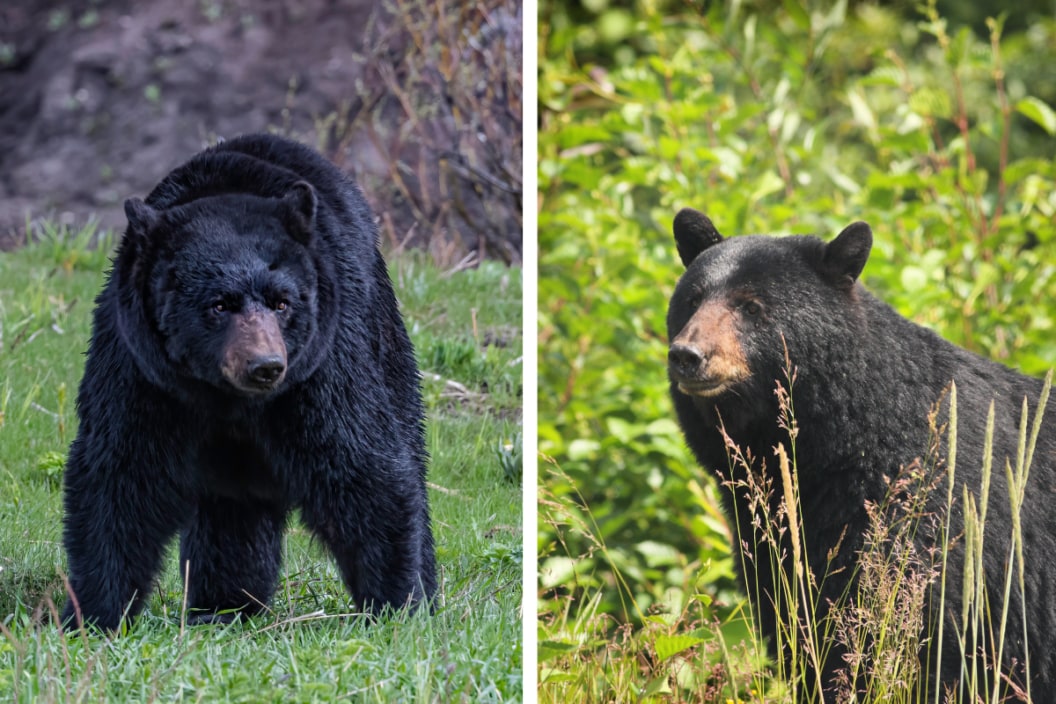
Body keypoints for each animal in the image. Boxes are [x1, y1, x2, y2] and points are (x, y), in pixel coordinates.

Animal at [61, 135, 435, 629]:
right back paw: (225, 603)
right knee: (230, 510)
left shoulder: (323, 364)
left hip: (381, 331)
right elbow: (119, 470)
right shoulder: (139, 368)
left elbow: (360, 461)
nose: (265, 365)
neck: (229, 400)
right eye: (219, 304)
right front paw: (92, 614)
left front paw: (397, 605)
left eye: (282, 302)